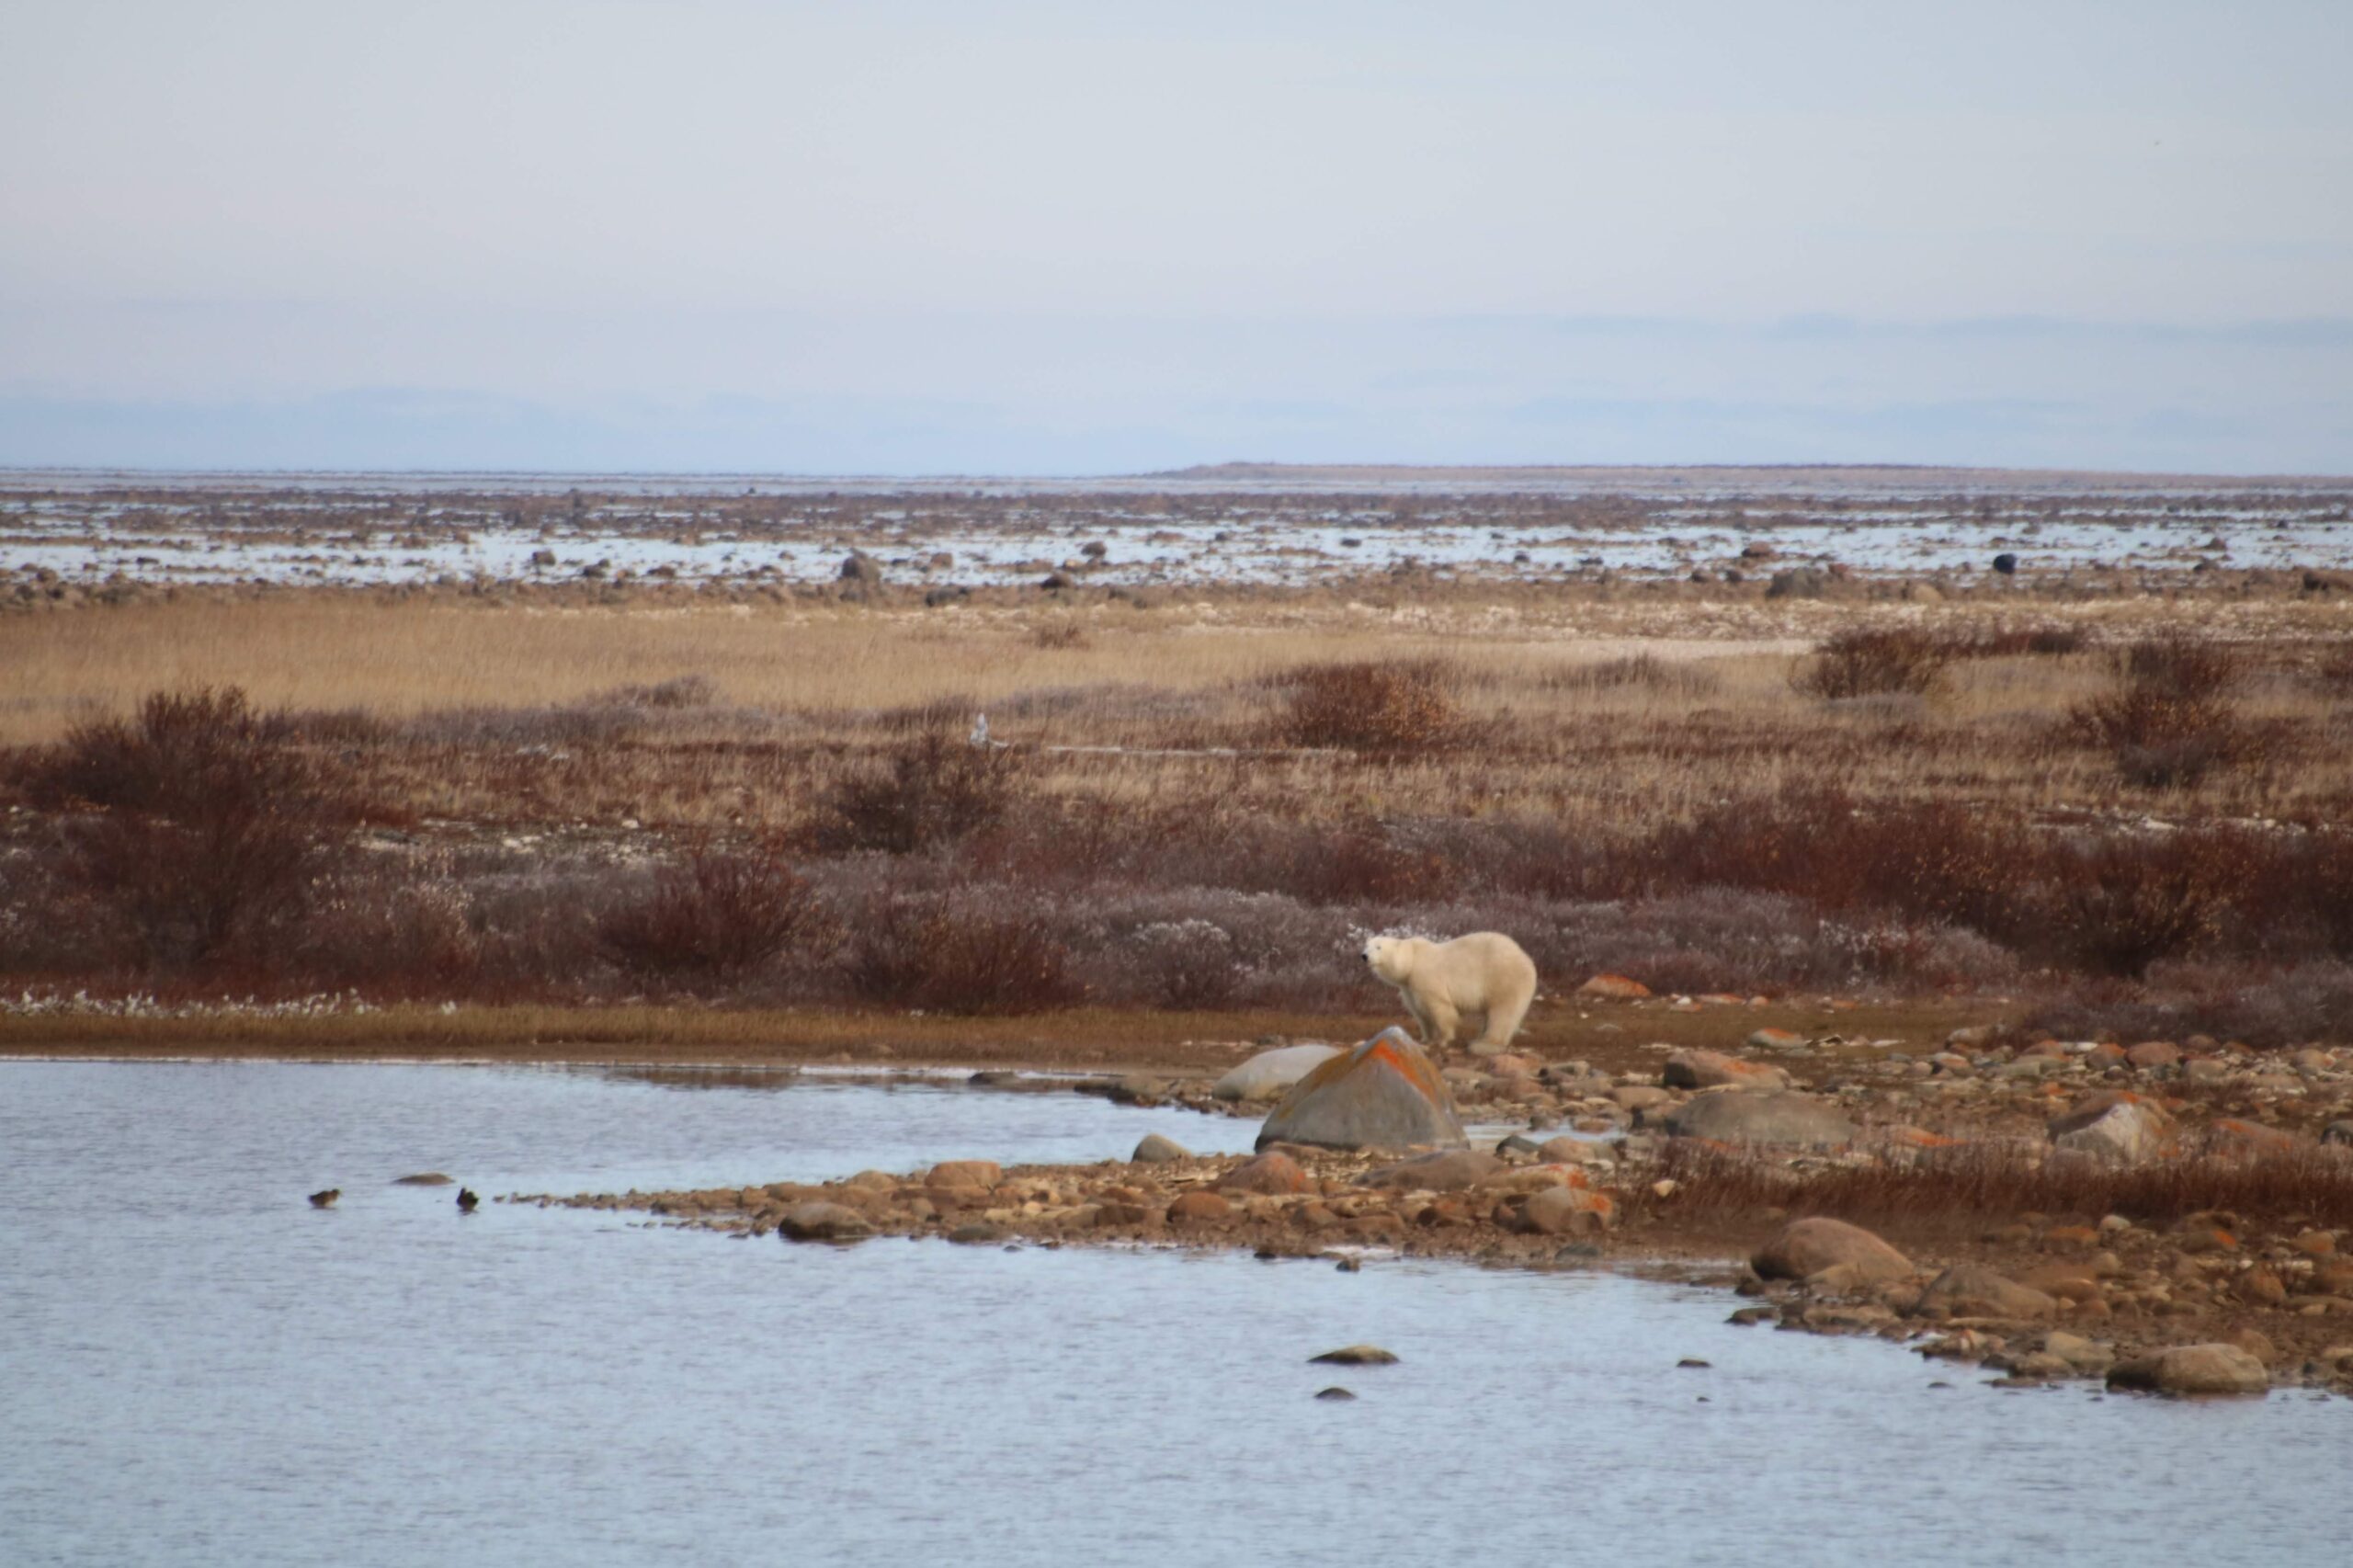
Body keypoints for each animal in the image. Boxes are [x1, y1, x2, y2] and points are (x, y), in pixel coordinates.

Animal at [1361, 931, 1538, 1057]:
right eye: (1366, 945)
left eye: (1378, 947)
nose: (1364, 956)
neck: (1412, 961)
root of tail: (1526, 959)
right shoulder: (1408, 987)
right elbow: (1420, 1012)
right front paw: (1425, 1039)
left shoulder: (1426, 978)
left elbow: (1440, 1008)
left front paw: (1443, 1040)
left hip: (1503, 979)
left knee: (1502, 1012)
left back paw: (1485, 1044)